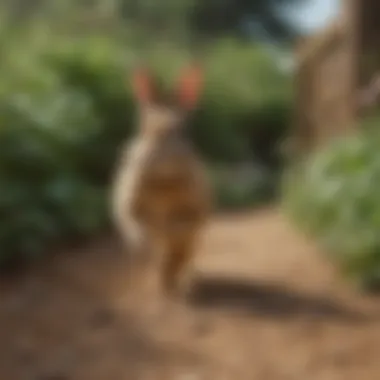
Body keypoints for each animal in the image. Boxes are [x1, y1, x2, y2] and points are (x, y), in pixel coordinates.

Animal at [110, 64, 214, 302]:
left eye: (183, 130)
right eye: (143, 128)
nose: (168, 157)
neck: (164, 179)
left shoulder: (192, 213)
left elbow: (178, 239)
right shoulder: (129, 205)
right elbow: (139, 228)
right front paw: (146, 245)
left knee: (183, 259)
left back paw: (183, 287)